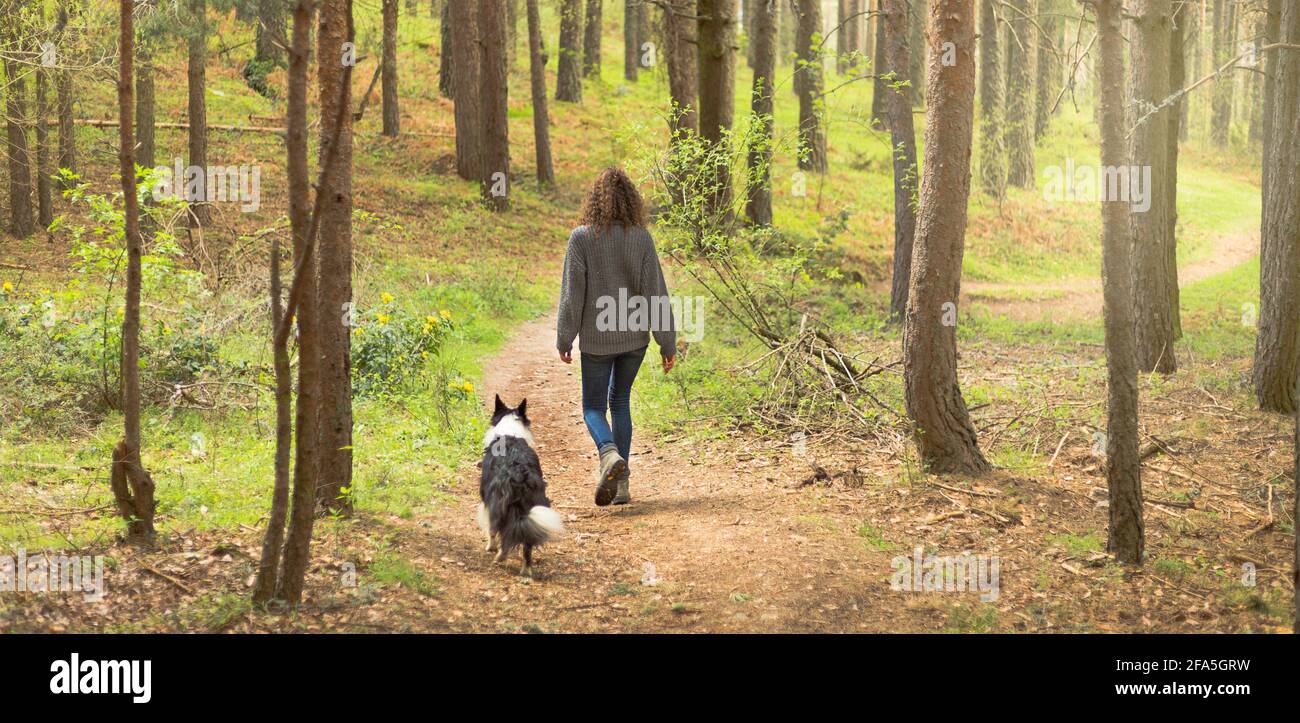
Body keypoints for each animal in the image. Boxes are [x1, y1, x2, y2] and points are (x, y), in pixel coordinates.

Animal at [475, 395, 561, 577]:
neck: (510, 431)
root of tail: (521, 474)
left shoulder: (487, 500)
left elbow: (492, 530)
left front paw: (490, 547)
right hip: (533, 507)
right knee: (527, 544)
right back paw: (526, 570)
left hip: (498, 503)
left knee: (501, 532)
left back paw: (500, 557)